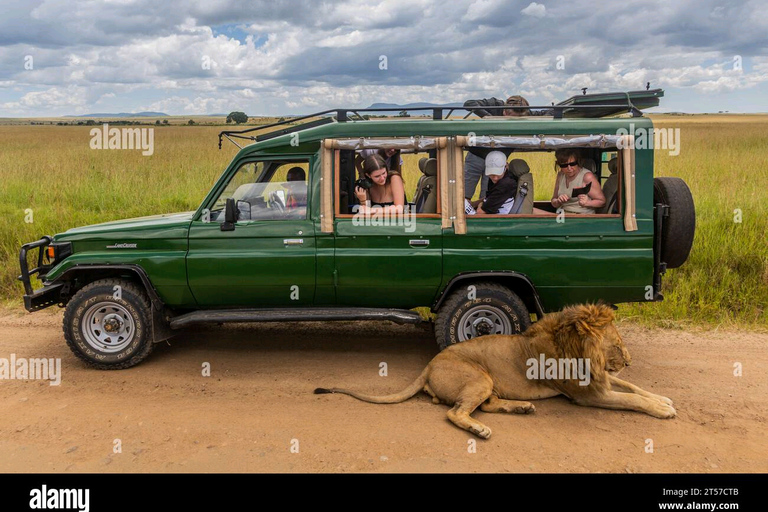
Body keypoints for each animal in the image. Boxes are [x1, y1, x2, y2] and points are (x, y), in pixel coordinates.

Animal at [316, 304, 676, 440]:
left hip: (487, 383)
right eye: (617, 344)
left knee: (486, 405)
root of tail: (428, 365)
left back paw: (522, 408)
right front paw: (662, 410)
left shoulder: (601, 379)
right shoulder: (588, 394)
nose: (629, 360)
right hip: (480, 376)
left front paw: (664, 398)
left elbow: (633, 388)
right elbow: (631, 399)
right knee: (456, 413)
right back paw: (480, 430)